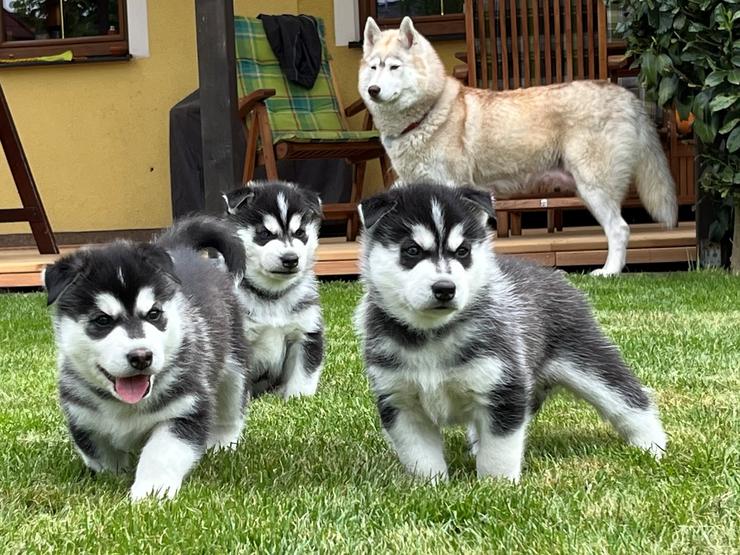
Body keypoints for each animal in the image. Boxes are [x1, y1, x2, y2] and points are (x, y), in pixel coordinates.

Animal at [44, 218, 250, 504]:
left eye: (154, 314)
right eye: (102, 320)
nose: (141, 356)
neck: (125, 406)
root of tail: (181, 249)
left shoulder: (185, 408)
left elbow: (161, 453)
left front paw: (151, 492)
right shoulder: (81, 415)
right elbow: (98, 453)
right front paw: (113, 476)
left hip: (234, 366)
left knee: (231, 408)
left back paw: (222, 443)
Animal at [220, 182, 324, 400]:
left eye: (300, 232)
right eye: (265, 233)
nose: (291, 259)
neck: (272, 296)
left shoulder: (306, 332)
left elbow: (304, 374)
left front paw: (298, 398)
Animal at [356, 17, 680, 278]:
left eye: (394, 66)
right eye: (374, 67)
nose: (373, 90)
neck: (426, 114)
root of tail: (626, 95)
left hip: (594, 188)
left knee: (619, 229)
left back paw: (609, 272)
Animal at [356, 185, 668, 484]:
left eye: (463, 251)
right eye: (412, 250)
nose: (445, 288)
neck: (433, 334)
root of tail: (550, 272)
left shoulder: (504, 391)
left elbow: (499, 452)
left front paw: (497, 487)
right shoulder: (400, 402)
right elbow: (420, 456)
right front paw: (429, 486)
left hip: (589, 361)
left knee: (628, 400)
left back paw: (652, 446)